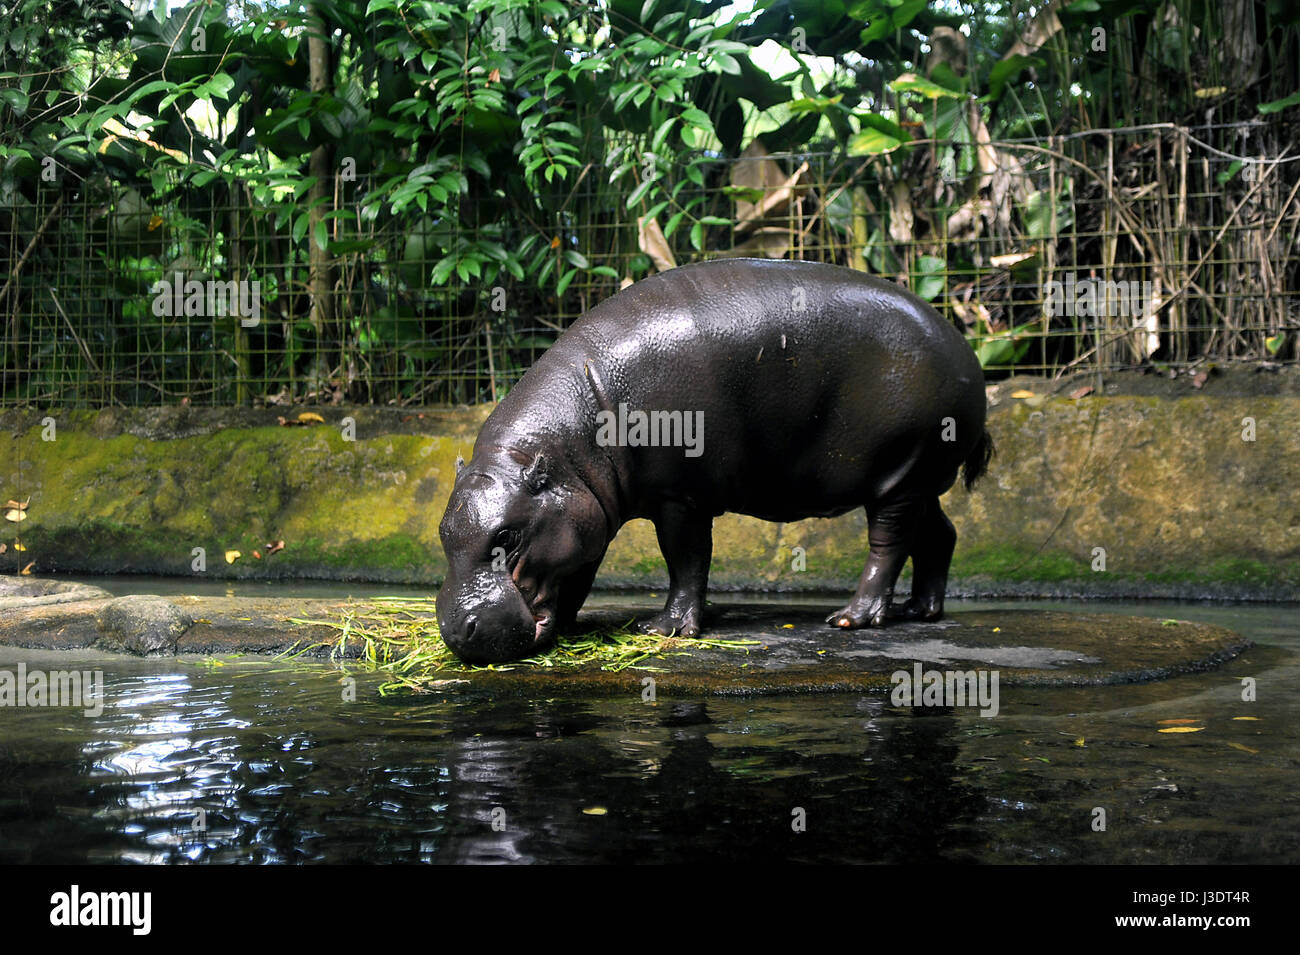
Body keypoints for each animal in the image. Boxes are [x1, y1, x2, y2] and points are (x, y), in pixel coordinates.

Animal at [434, 259, 982, 665]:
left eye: (507, 536)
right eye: (443, 533)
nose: (457, 631)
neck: (574, 442)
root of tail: (964, 347)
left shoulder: (681, 496)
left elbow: (686, 559)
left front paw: (665, 629)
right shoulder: (581, 510)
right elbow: (576, 571)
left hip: (898, 474)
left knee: (887, 544)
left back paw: (853, 618)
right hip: (919, 475)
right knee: (939, 532)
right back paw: (920, 610)